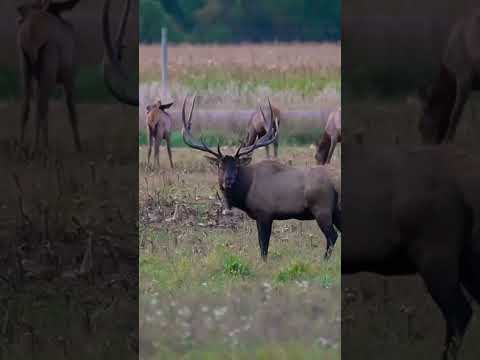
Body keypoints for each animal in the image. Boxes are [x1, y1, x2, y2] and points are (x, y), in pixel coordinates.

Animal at [181, 96, 342, 262]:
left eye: (236, 165)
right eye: (220, 166)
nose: (228, 181)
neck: (245, 193)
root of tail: (336, 184)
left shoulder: (264, 213)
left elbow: (263, 245)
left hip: (321, 209)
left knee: (332, 236)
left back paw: (324, 260)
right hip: (337, 211)